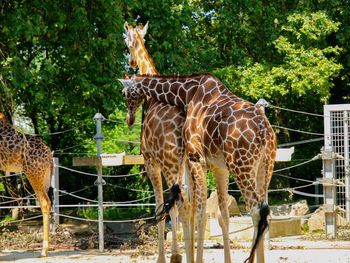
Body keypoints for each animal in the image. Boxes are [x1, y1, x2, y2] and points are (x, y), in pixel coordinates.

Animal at [0, 112, 52, 258]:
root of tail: (49, 154)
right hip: (42, 176)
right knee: (46, 202)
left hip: (33, 173)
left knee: (45, 202)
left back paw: (44, 250)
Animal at [119, 73, 278, 263]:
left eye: (124, 93)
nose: (129, 119)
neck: (187, 94)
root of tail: (264, 131)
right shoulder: (217, 166)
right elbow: (218, 213)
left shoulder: (196, 158)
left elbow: (200, 214)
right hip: (265, 166)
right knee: (265, 213)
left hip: (241, 165)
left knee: (255, 211)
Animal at [122, 22, 194, 263]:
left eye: (124, 93)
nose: (131, 62)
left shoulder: (151, 161)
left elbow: (160, 206)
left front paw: (166, 256)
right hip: (191, 165)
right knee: (194, 205)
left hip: (170, 164)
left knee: (182, 205)